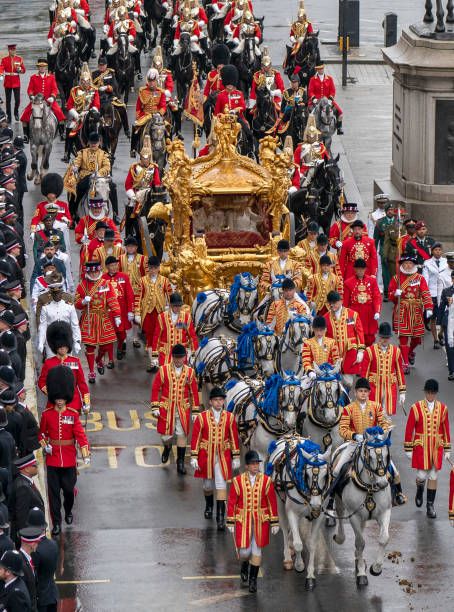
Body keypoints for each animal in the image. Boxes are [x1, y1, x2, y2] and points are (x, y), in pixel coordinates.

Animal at [268, 436, 332, 588]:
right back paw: (287, 557)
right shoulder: (291, 512)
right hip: (280, 504)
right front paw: (299, 565)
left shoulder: (319, 515)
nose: (315, 504)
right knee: (285, 528)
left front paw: (310, 575)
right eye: (307, 474)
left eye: (325, 475)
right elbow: (298, 544)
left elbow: (312, 543)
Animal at [332, 426, 392, 588]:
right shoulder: (354, 515)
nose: (383, 483)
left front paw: (376, 568)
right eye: (370, 456)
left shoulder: (385, 512)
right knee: (340, 515)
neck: (370, 487)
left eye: (386, 454)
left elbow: (384, 538)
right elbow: (360, 542)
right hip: (340, 501)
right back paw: (340, 538)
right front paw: (361, 574)